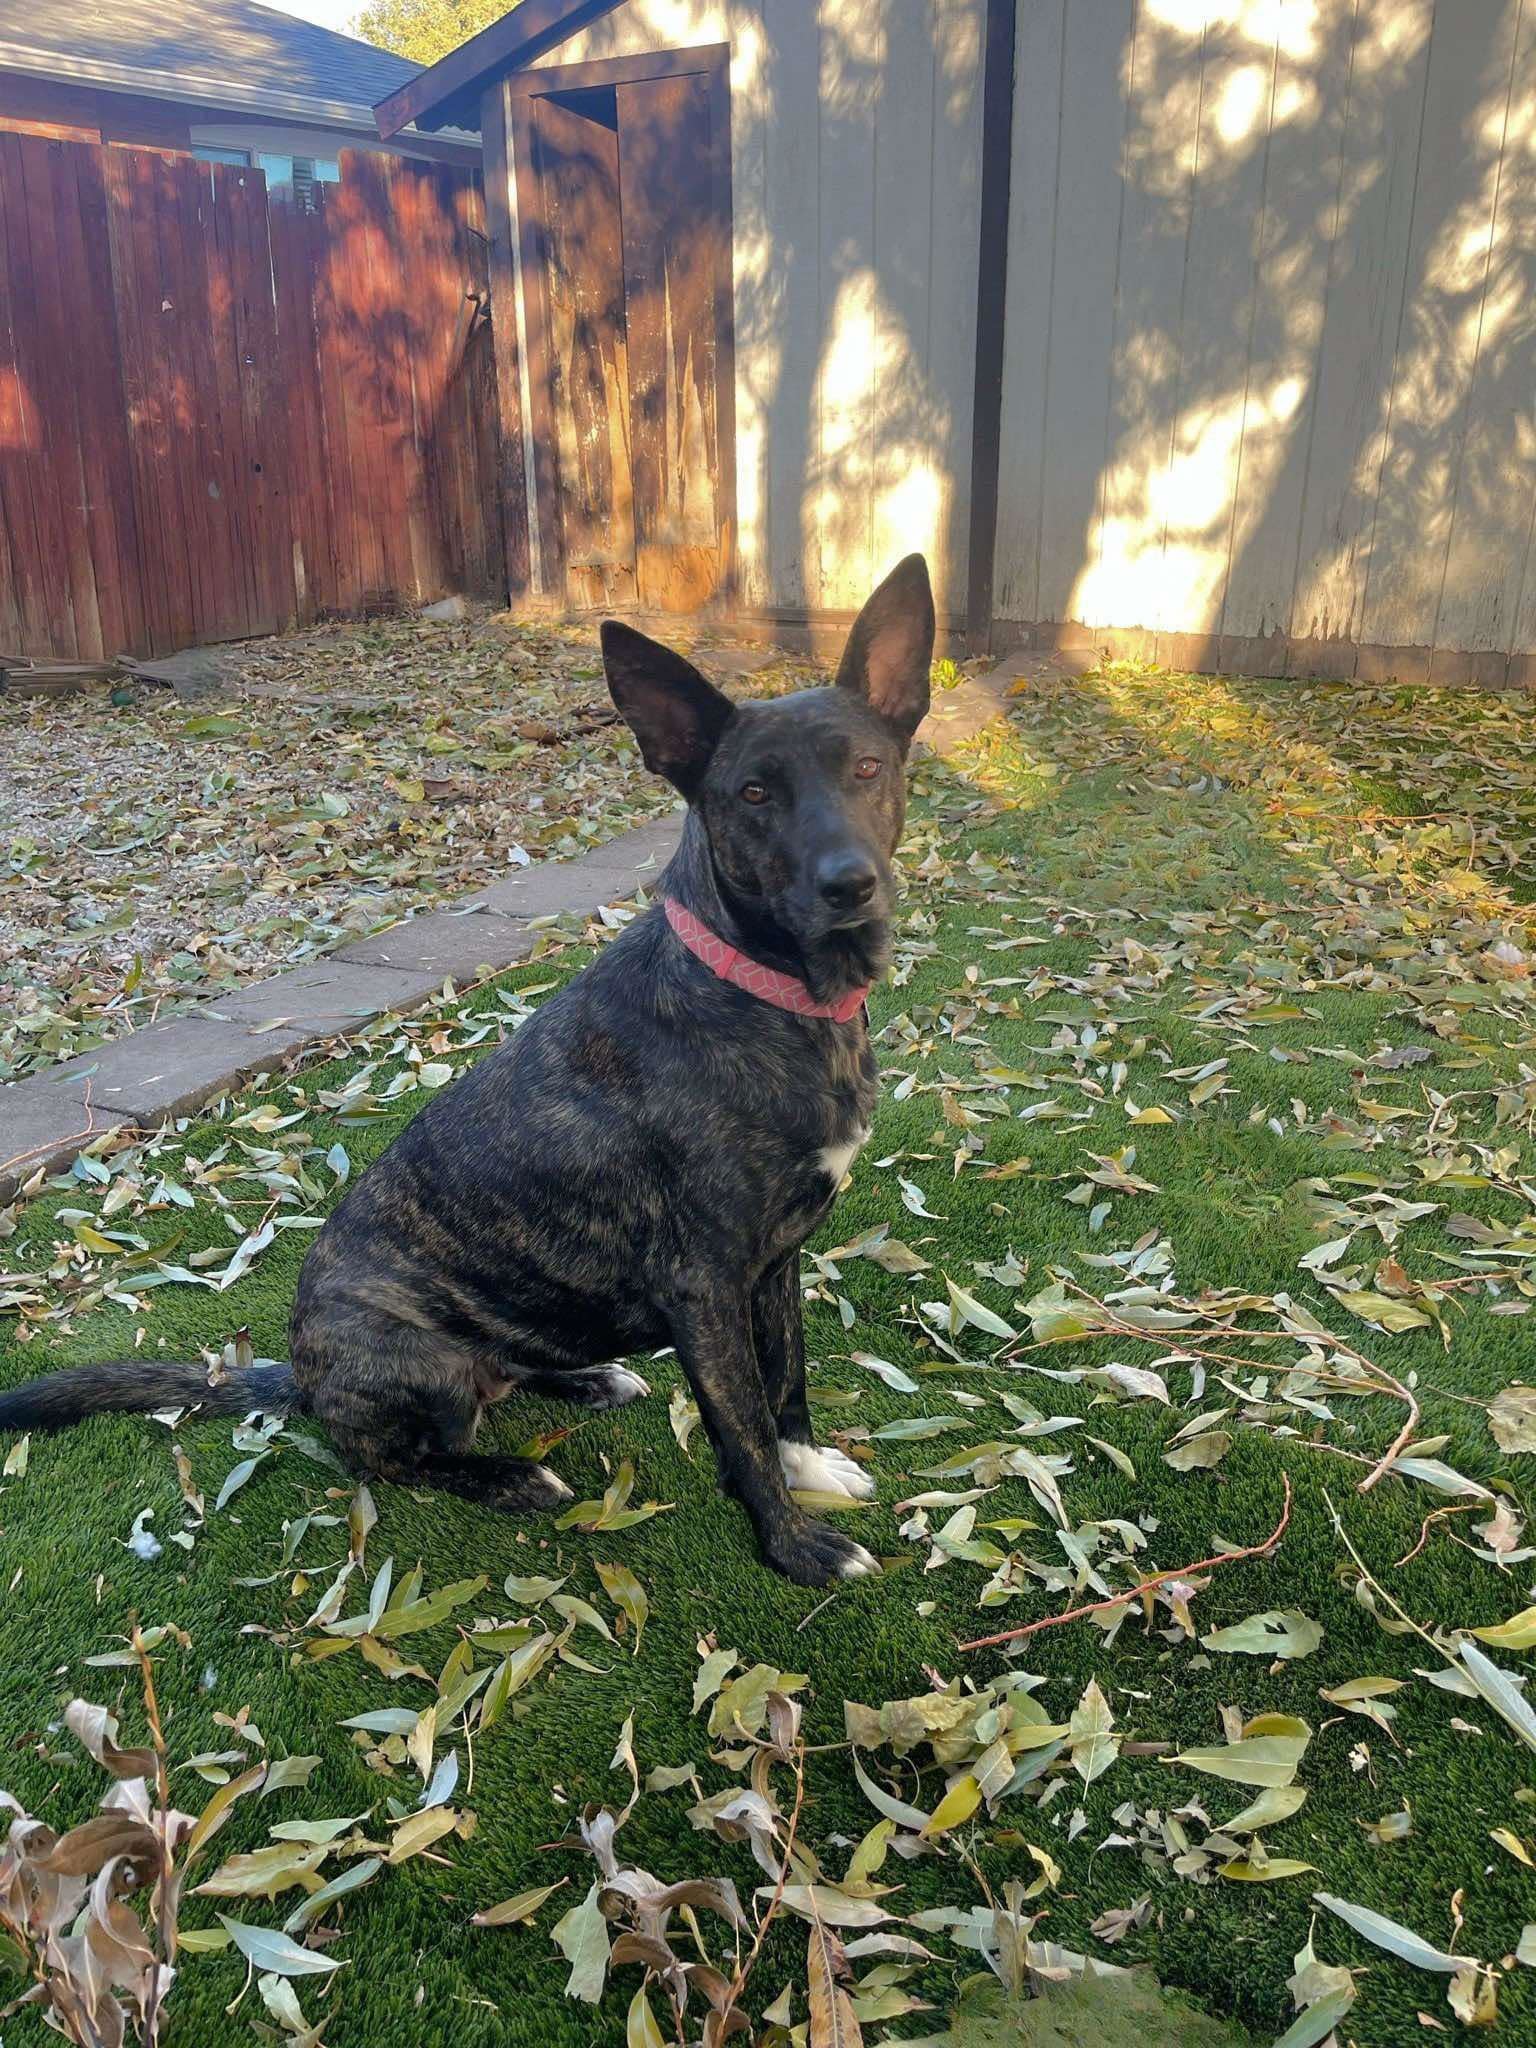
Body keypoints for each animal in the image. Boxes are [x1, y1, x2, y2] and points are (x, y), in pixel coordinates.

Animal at [3, 557, 937, 1581]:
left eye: (867, 768)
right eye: (754, 795)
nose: (850, 883)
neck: (764, 992)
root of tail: (302, 1372)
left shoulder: (776, 1264)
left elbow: (786, 1384)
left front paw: (809, 1467)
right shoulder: (707, 1286)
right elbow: (744, 1427)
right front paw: (795, 1544)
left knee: (516, 1367)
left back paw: (588, 1378)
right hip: (418, 1361)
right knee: (396, 1459)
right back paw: (511, 1476)